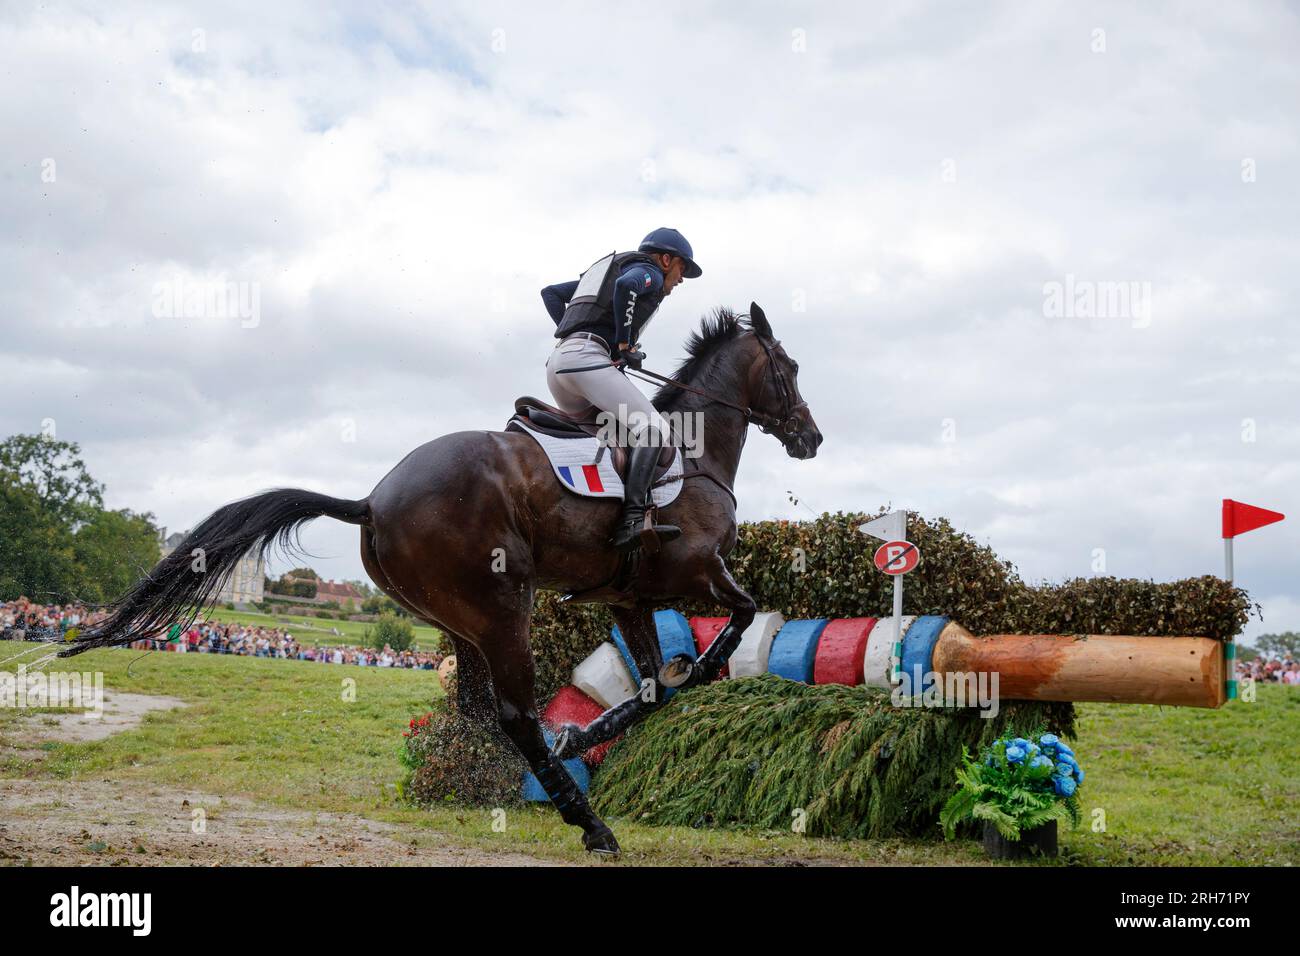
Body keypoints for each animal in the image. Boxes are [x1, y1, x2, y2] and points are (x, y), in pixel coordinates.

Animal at [61, 303, 821, 858]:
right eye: (790, 367)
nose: (811, 438)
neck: (695, 454)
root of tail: (372, 499)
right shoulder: (701, 569)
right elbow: (733, 625)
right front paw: (673, 683)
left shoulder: (628, 596)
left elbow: (657, 685)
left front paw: (587, 733)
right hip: (504, 607)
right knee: (513, 715)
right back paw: (590, 824)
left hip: (460, 618)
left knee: (480, 711)